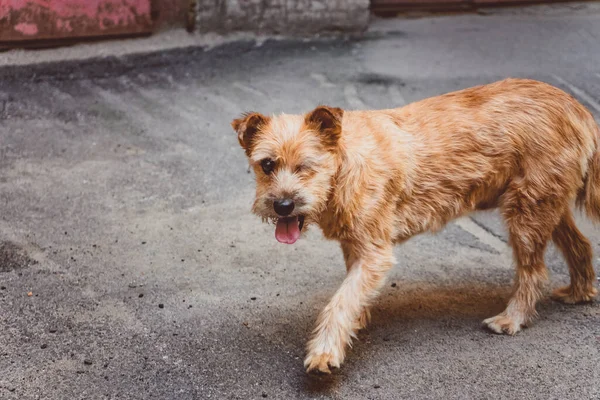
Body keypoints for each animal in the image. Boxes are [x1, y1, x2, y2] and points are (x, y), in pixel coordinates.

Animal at [231, 79, 600, 376]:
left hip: (526, 215)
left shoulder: (374, 254)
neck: (345, 164)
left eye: (306, 166)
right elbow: (352, 293)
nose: (283, 205)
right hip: (545, 208)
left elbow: (340, 301)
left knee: (533, 272)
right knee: (580, 245)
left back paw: (513, 318)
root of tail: (576, 107)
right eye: (267, 165)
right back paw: (579, 292)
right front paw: (356, 320)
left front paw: (325, 352)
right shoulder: (356, 248)